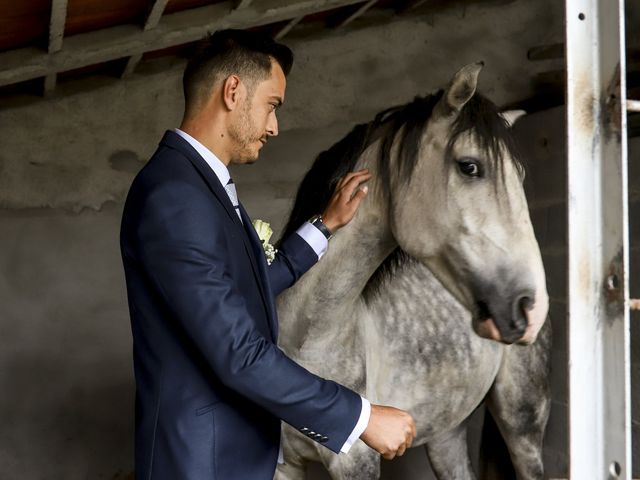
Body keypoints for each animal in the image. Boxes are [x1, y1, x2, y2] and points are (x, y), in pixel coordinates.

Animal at [274, 64, 552, 480]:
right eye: (470, 166)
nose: (529, 307)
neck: (306, 339)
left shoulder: (356, 463)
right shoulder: (281, 464)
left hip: (523, 422)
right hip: (447, 432)